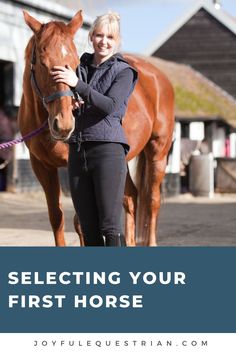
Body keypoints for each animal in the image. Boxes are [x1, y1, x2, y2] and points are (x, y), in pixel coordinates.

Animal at [18, 9, 175, 246]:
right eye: (43, 64)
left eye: (74, 63)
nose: (64, 125)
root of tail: (159, 77)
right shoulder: (42, 167)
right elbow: (56, 217)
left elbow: (80, 222)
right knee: (131, 198)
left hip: (158, 153)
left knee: (152, 201)